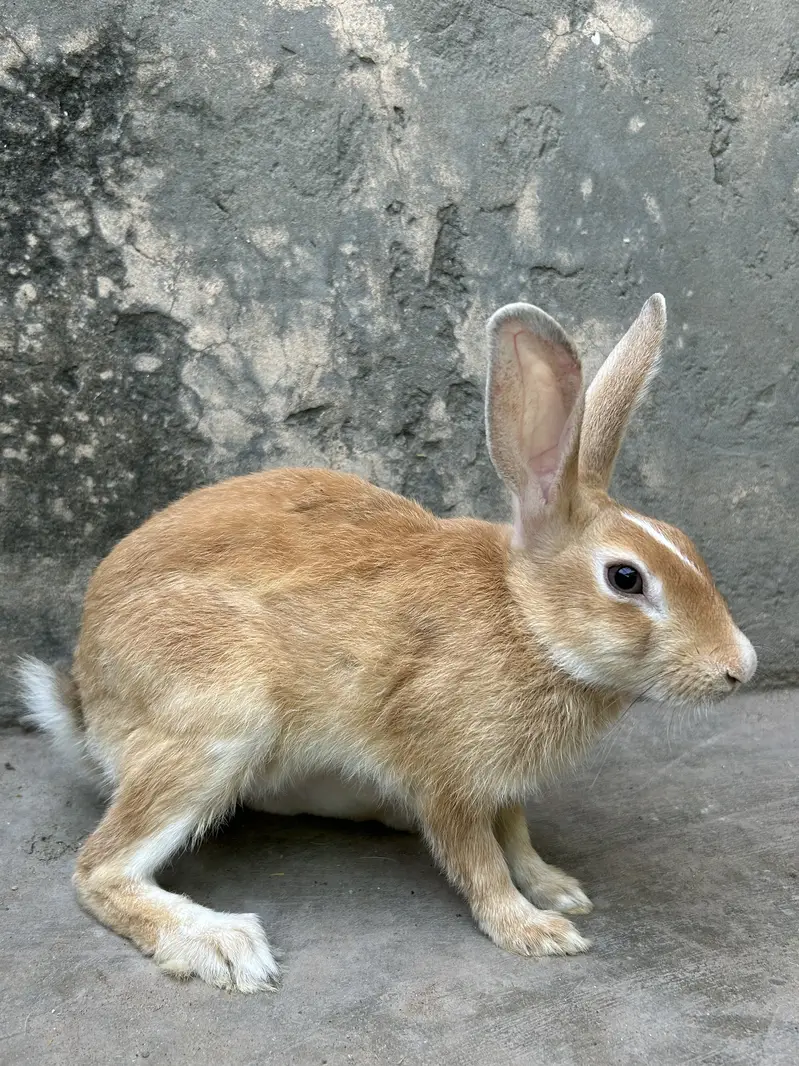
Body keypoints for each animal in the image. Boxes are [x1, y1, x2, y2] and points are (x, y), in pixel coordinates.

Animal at [19, 293, 757, 993]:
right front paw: (533, 930)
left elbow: (516, 837)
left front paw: (556, 888)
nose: (739, 668)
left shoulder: (502, 786)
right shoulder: (447, 772)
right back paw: (222, 945)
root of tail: (89, 706)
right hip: (216, 719)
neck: (527, 621)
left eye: (684, 542)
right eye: (625, 578)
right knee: (98, 869)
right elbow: (479, 861)